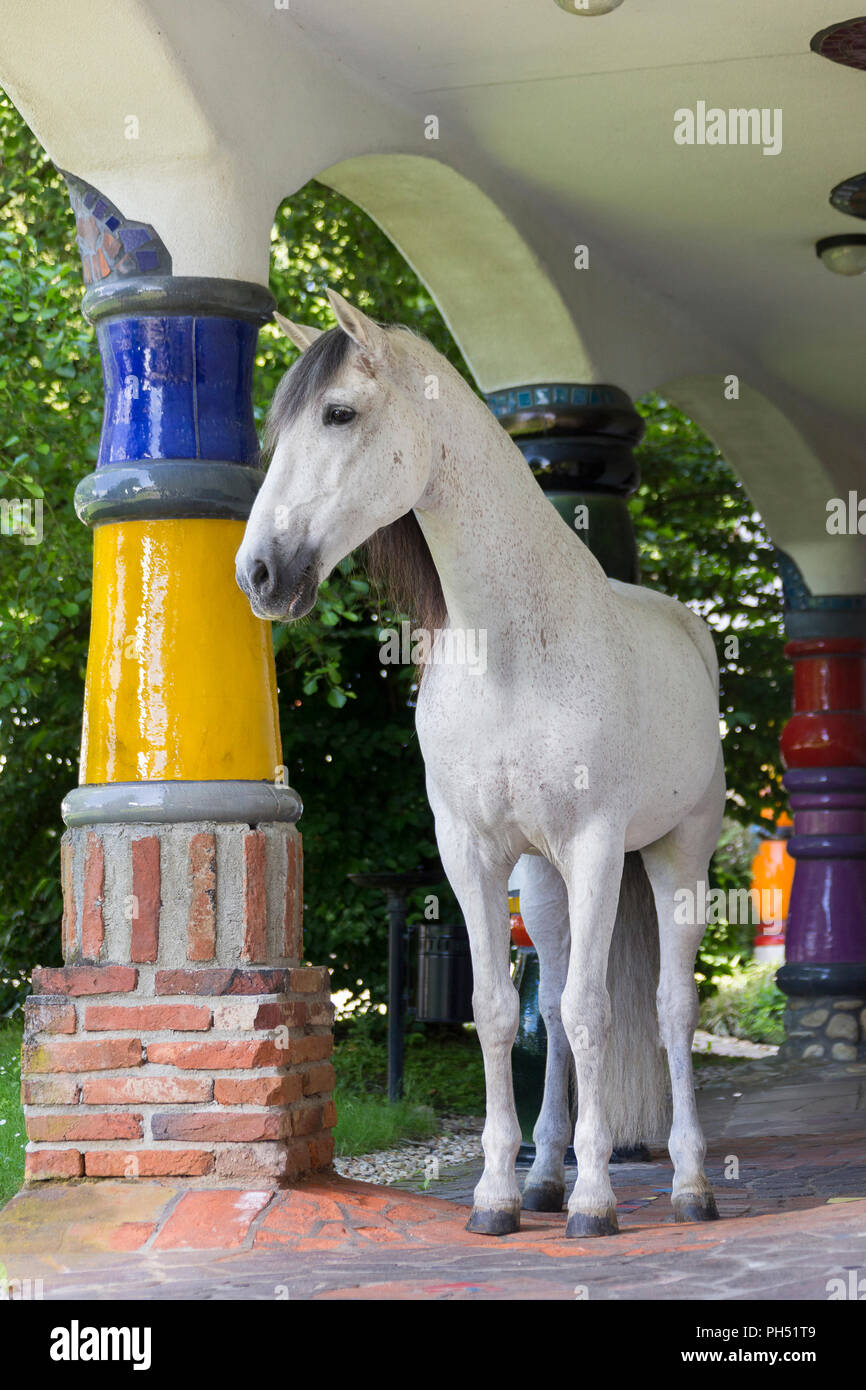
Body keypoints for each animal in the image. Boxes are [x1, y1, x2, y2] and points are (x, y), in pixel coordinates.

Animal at [237, 290, 722, 1239]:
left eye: (339, 413)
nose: (259, 573)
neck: (512, 652)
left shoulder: (598, 846)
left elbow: (595, 1011)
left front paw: (597, 1201)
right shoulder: (473, 852)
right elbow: (500, 1013)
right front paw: (499, 1191)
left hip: (675, 854)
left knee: (667, 1008)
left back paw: (688, 1184)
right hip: (544, 882)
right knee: (557, 1006)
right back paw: (544, 1178)